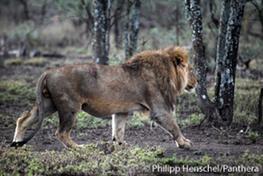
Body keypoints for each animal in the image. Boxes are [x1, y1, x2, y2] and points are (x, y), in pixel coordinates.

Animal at [11, 46, 197, 148]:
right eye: (191, 69)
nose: (197, 81)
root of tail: (49, 71)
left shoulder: (121, 111)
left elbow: (118, 130)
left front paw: (120, 145)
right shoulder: (159, 109)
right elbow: (174, 126)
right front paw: (184, 143)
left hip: (48, 104)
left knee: (23, 119)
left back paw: (16, 143)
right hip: (70, 107)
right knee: (61, 133)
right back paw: (80, 148)